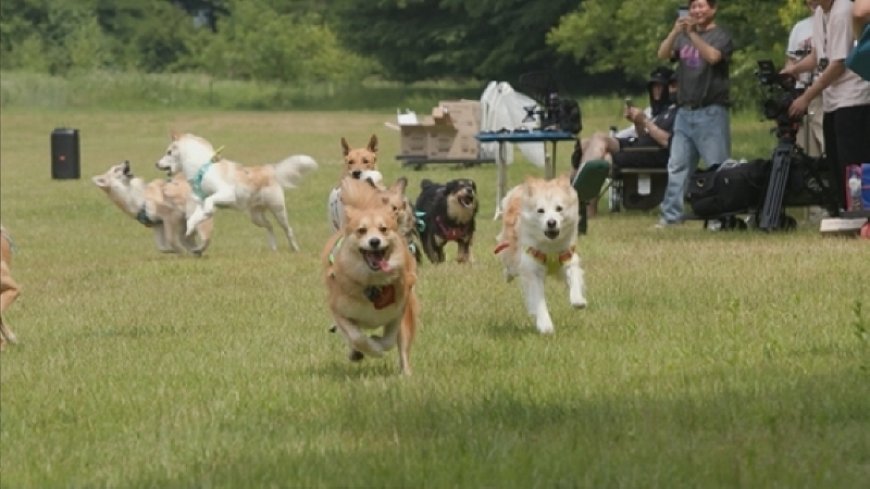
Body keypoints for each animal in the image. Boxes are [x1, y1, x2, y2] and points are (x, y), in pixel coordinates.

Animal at [155, 132, 318, 250]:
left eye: (169, 152)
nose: (156, 164)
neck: (203, 169)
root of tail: (269, 170)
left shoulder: (227, 194)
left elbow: (209, 202)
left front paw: (206, 213)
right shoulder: (201, 201)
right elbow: (195, 216)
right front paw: (190, 229)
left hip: (278, 210)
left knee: (287, 229)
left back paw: (295, 248)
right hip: (256, 217)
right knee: (270, 226)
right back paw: (273, 247)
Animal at [322, 177, 420, 376]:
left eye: (395, 209)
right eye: (361, 230)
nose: (374, 241)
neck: (374, 283)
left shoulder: (401, 309)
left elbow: (390, 339)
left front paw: (378, 343)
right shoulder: (339, 311)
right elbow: (357, 337)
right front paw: (371, 349)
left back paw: (406, 374)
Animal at [494, 173, 588, 334]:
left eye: (559, 208)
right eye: (540, 211)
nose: (551, 223)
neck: (550, 247)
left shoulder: (568, 258)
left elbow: (574, 277)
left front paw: (578, 300)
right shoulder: (532, 270)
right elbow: (538, 300)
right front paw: (545, 325)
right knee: (510, 265)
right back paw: (508, 275)